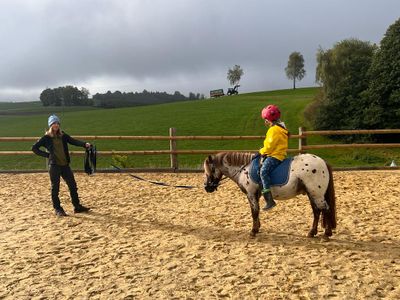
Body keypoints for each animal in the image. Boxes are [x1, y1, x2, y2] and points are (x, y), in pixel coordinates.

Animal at [203, 152, 338, 239]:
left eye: (208, 170)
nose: (206, 187)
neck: (244, 169)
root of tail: (322, 161)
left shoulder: (251, 194)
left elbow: (254, 211)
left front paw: (253, 231)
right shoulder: (255, 195)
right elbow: (256, 212)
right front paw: (257, 228)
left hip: (316, 194)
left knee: (325, 210)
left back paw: (326, 234)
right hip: (312, 194)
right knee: (317, 211)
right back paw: (312, 233)